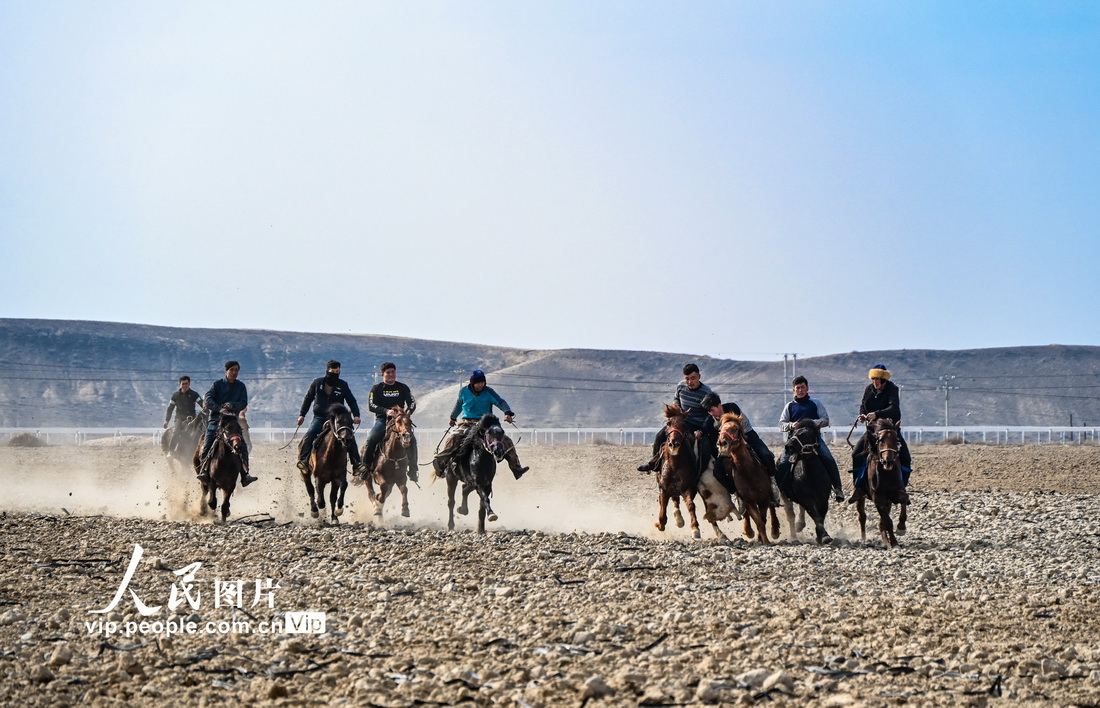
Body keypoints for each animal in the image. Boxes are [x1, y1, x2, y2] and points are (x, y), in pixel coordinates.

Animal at [646, 406, 699, 538]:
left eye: (684, 424)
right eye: (668, 423)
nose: (674, 443)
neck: (674, 465)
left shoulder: (687, 487)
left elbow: (691, 505)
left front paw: (695, 528)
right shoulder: (664, 488)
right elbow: (662, 509)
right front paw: (659, 524)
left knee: (676, 499)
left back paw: (679, 519)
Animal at [712, 411, 783, 545]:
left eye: (735, 428)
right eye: (720, 430)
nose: (722, 443)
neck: (749, 471)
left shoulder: (763, 499)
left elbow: (763, 519)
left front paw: (765, 540)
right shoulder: (749, 501)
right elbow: (758, 522)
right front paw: (760, 538)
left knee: (772, 506)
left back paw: (775, 530)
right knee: (747, 514)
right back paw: (748, 531)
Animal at [783, 417, 831, 545]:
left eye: (807, 434)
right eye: (794, 432)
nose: (788, 446)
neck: (812, 475)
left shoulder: (824, 500)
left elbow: (821, 516)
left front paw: (820, 536)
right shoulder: (807, 499)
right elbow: (817, 517)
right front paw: (824, 536)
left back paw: (800, 525)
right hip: (785, 497)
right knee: (790, 515)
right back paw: (794, 536)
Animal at [853, 419, 906, 547]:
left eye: (896, 440)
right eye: (880, 440)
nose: (888, 461)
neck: (886, 474)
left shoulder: (896, 493)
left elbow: (904, 499)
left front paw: (901, 527)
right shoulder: (878, 498)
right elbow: (888, 521)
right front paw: (894, 543)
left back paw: (885, 540)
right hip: (861, 497)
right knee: (862, 516)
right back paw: (864, 539)